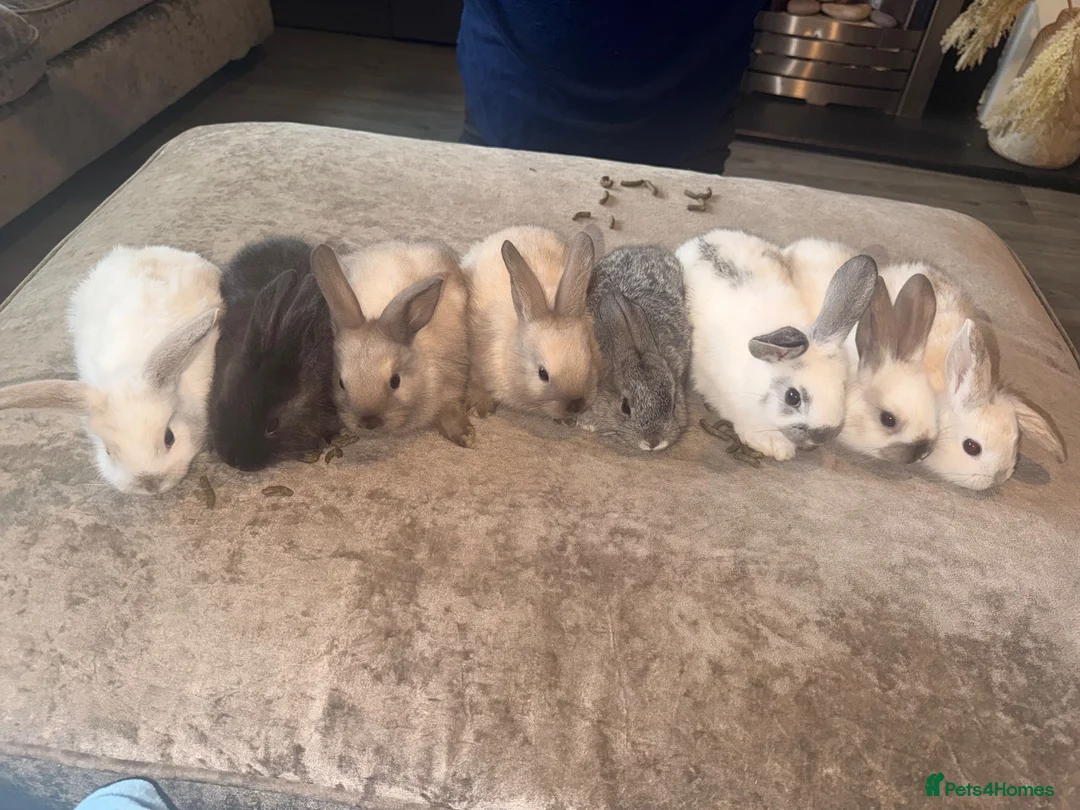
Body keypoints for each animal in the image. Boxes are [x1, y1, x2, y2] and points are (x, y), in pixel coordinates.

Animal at [310, 240, 473, 446]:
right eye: (341, 383)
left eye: (396, 381)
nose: (369, 422)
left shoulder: (453, 381)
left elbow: (450, 408)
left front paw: (465, 436)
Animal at [461, 225, 602, 421]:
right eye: (542, 374)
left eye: (589, 362)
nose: (575, 405)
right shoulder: (476, 360)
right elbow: (477, 381)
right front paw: (478, 407)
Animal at [580, 244, 691, 452]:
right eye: (625, 407)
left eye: (673, 405)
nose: (653, 442)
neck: (633, 347)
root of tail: (646, 249)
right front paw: (587, 423)